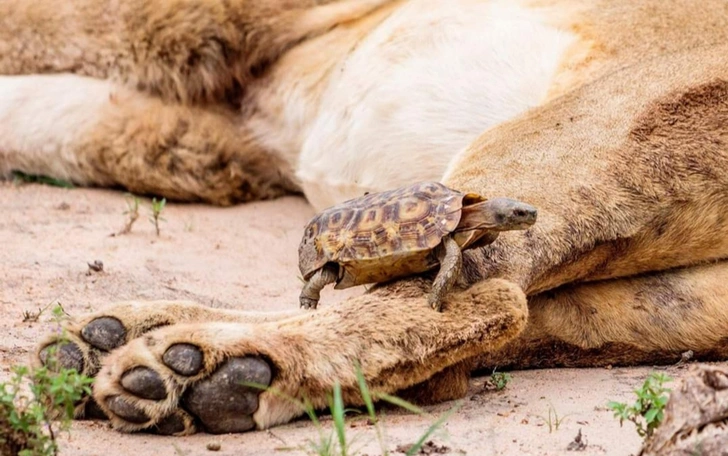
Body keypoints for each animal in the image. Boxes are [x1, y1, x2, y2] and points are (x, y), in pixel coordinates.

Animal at [1, 0, 728, 448]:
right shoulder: (222, 142)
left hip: (599, 128)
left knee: (481, 300)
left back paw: (191, 370)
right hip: (656, 304)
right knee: (466, 342)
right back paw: (125, 342)